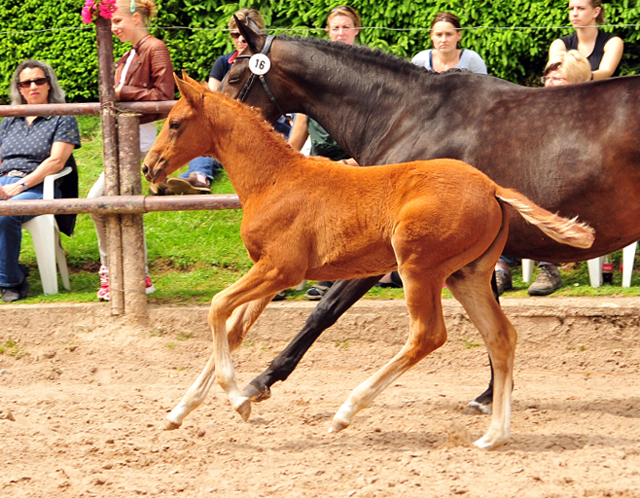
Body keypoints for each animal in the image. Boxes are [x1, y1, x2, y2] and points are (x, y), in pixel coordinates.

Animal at [144, 75, 596, 452]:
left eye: (176, 123)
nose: (149, 166)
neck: (274, 180)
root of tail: (492, 186)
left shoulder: (281, 269)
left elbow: (217, 307)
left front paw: (240, 400)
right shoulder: (271, 272)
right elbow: (234, 329)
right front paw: (179, 412)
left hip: (419, 268)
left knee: (428, 335)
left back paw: (347, 411)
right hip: (466, 275)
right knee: (500, 336)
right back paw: (494, 435)